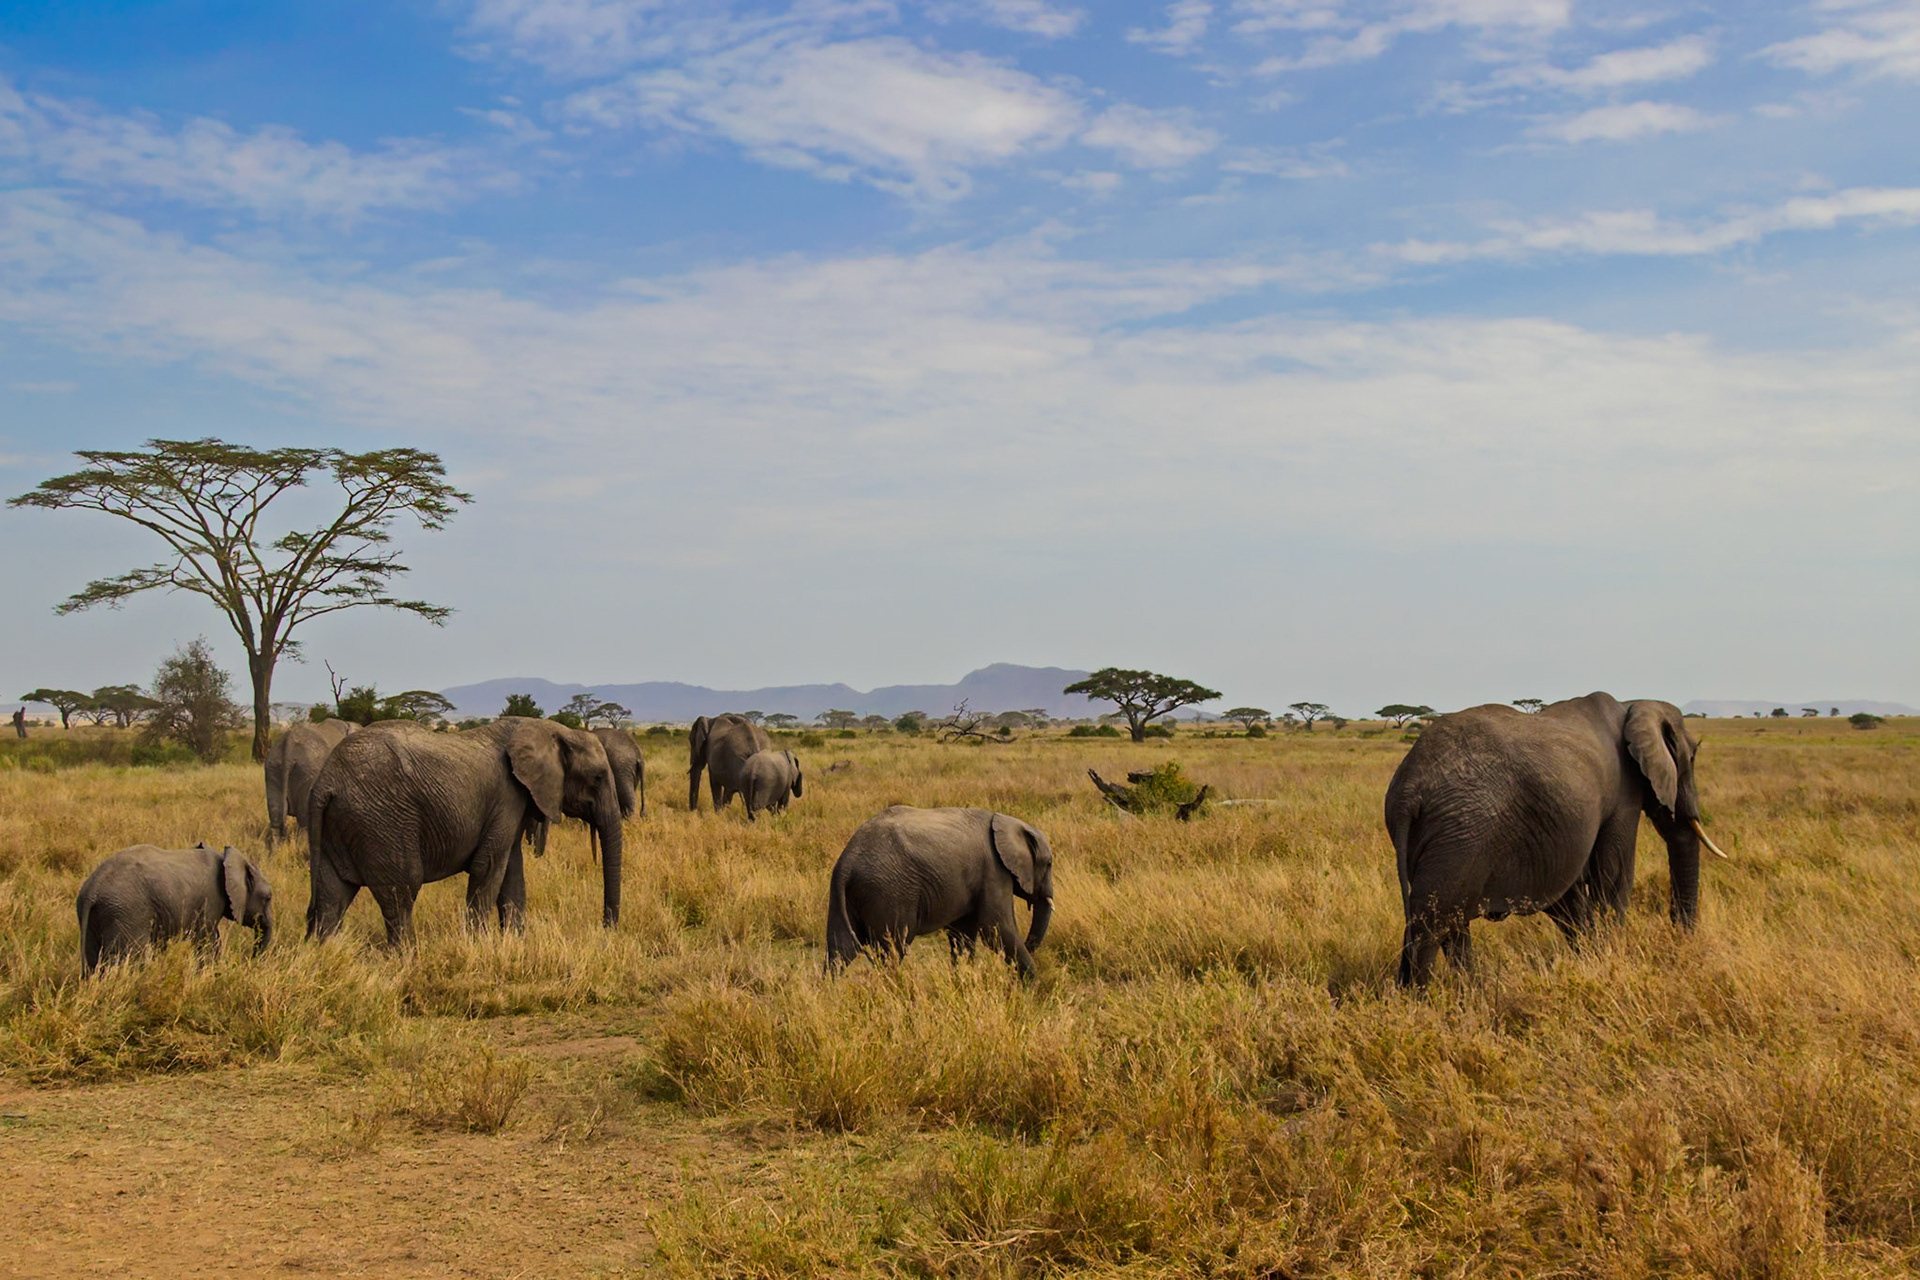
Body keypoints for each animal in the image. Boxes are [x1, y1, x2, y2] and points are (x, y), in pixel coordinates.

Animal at [76, 842, 273, 976]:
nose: (249, 961)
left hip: (99, 915)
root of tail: (92, 890)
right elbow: (206, 939)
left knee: (93, 961)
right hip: (125, 913)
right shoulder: (212, 898)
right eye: (268, 897)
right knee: (130, 957)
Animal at [306, 716, 624, 946]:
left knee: (332, 897)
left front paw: (516, 946)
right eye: (597, 778)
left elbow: (512, 873)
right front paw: (480, 947)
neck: (550, 729)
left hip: (341, 826)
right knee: (401, 894)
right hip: (382, 820)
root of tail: (325, 784)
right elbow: (489, 867)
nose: (606, 929)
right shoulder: (507, 796)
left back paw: (327, 954)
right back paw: (407, 959)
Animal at [826, 806, 1054, 977]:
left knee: (840, 950)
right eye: (1049, 863)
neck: (1007, 822)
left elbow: (963, 934)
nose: (1030, 946)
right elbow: (996, 927)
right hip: (889, 892)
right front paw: (1030, 985)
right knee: (892, 950)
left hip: (846, 894)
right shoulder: (993, 871)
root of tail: (847, 862)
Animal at [1385, 692, 1729, 987]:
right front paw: (1610, 957)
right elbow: (1614, 877)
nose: (1680, 941)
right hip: (1462, 834)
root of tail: (1407, 789)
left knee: (1447, 923)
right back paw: (1426, 1000)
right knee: (1433, 924)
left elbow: (1572, 893)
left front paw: (1592, 957)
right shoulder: (1623, 794)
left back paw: (1466, 991)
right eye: (1692, 757)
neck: (1633, 705)